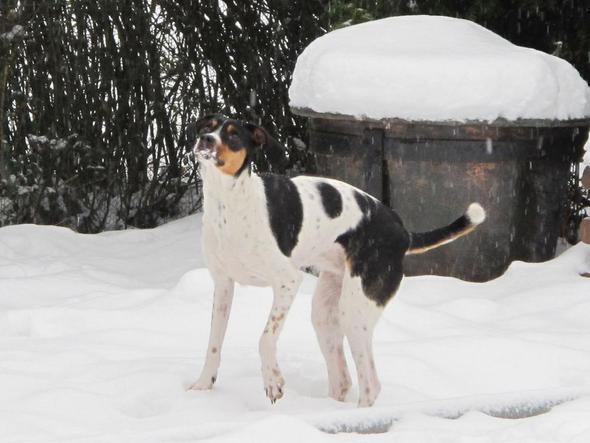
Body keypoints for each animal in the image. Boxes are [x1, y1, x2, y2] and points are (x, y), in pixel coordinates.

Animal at [188, 115, 486, 410]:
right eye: (207, 127)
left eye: (233, 135)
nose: (205, 140)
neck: (229, 206)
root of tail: (403, 232)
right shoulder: (223, 285)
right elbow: (213, 343)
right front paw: (203, 386)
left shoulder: (287, 281)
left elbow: (265, 338)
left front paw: (273, 381)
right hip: (325, 312)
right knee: (343, 380)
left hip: (354, 311)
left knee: (371, 384)